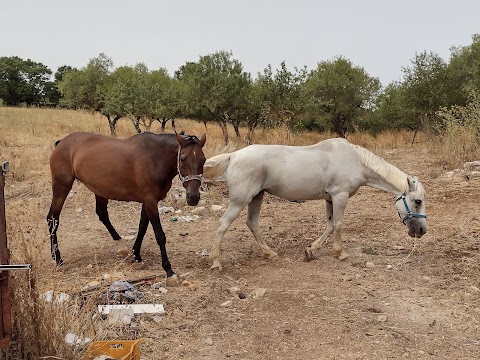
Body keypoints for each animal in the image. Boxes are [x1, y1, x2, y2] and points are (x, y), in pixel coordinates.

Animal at [47, 131, 206, 282]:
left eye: (203, 159)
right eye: (183, 158)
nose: (193, 197)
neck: (155, 157)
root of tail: (62, 142)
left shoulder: (148, 201)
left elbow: (142, 227)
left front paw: (136, 254)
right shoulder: (150, 201)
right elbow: (159, 235)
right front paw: (169, 270)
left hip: (100, 189)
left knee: (102, 214)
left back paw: (121, 246)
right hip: (62, 186)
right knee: (53, 218)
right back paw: (57, 258)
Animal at [202, 138, 428, 270]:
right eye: (417, 201)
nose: (422, 231)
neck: (356, 161)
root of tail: (233, 155)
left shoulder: (330, 198)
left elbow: (329, 226)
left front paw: (311, 250)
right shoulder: (340, 196)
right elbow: (338, 225)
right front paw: (341, 253)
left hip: (257, 197)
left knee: (252, 223)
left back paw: (269, 253)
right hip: (241, 200)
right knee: (223, 224)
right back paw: (216, 261)